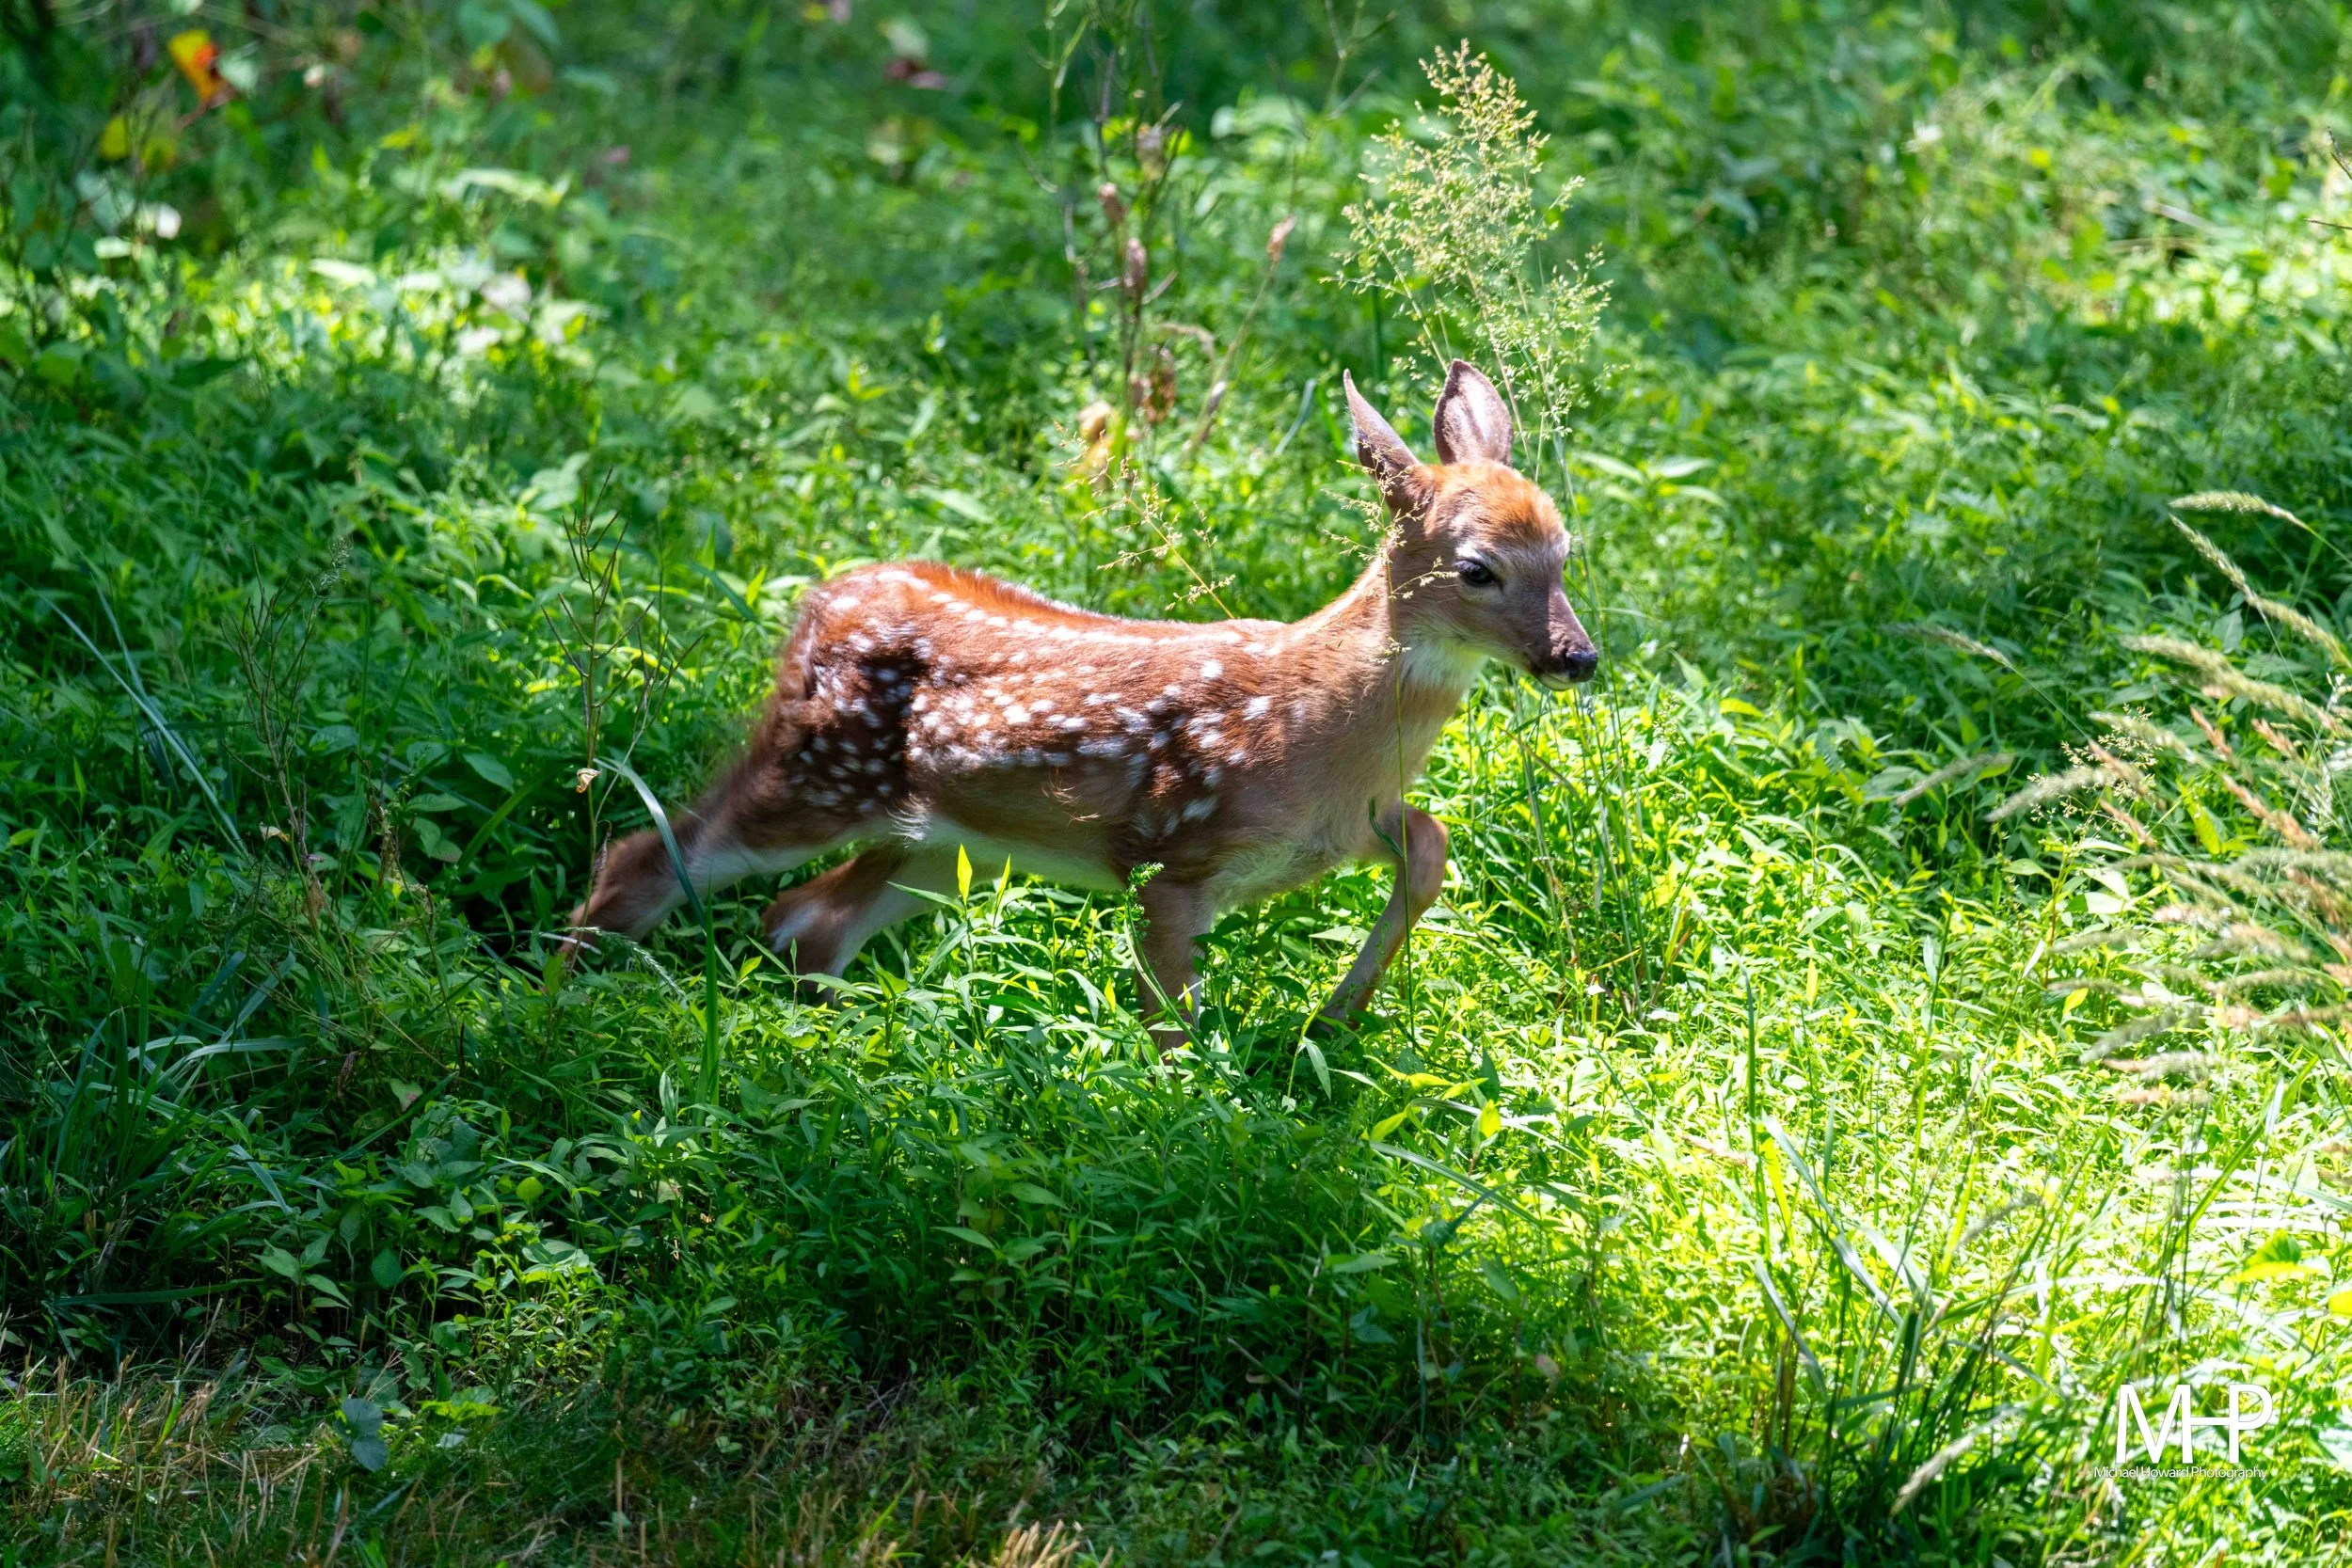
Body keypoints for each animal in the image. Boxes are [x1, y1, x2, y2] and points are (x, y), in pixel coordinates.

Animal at [569, 360, 1597, 1039]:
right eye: (1478, 568)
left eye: (1563, 551)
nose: (1576, 655)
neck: (1320, 728)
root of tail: (819, 601)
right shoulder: (1172, 853)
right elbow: (1172, 1026)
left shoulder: (1352, 822)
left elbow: (1429, 843)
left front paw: (1334, 1016)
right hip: (815, 770)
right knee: (642, 859)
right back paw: (560, 1007)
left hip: (938, 838)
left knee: (802, 920)